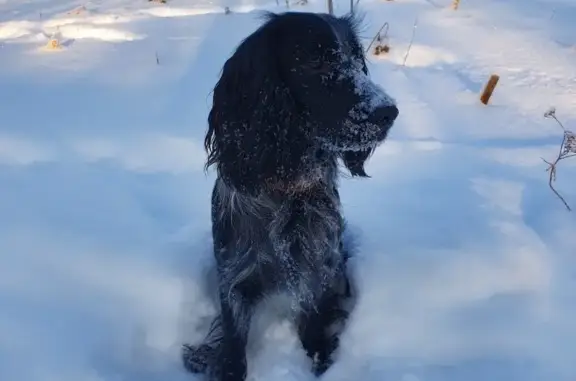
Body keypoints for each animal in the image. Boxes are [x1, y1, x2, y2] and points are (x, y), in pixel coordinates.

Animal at [182, 10, 398, 378]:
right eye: (314, 60)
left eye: (357, 58)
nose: (388, 112)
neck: (286, 189)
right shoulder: (234, 275)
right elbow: (233, 342)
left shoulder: (319, 269)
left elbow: (313, 325)